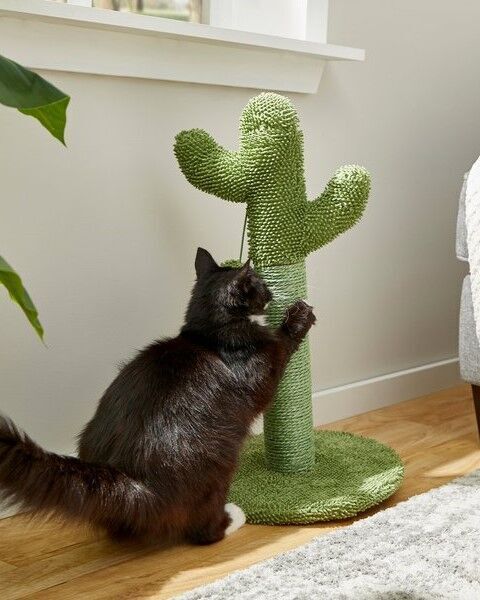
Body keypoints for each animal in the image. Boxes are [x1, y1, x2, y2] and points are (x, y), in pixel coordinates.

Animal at [0, 247, 316, 544]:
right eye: (260, 283)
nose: (271, 289)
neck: (209, 334)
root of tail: (135, 481)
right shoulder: (266, 368)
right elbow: (282, 343)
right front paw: (299, 315)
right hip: (221, 458)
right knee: (203, 530)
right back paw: (233, 517)